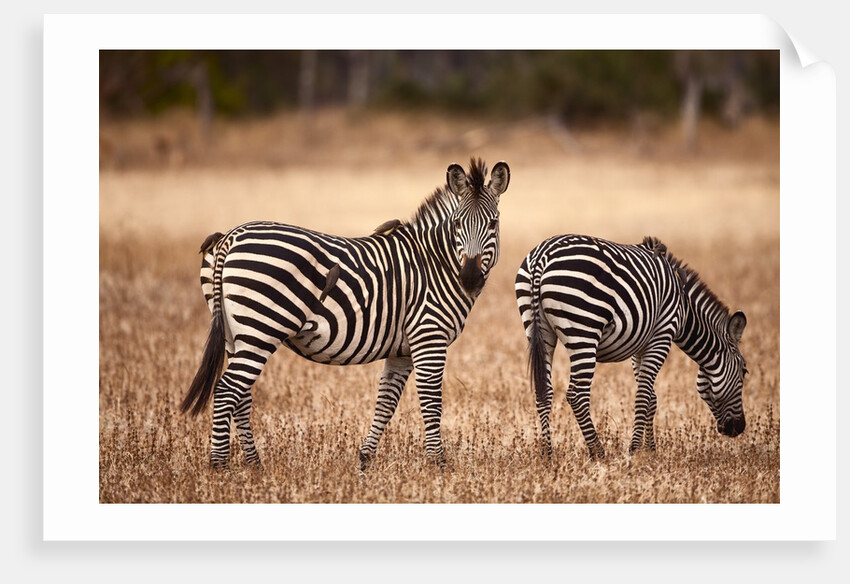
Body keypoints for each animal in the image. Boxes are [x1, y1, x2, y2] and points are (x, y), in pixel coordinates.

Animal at [180, 158, 511, 470]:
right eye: (457, 225)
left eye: (493, 224)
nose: (469, 279)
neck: (436, 262)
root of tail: (231, 236)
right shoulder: (429, 336)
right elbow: (431, 401)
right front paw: (438, 464)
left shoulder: (402, 350)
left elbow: (386, 402)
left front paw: (365, 458)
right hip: (261, 328)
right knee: (227, 391)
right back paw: (220, 467)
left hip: (234, 332)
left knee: (241, 395)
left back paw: (254, 464)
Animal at [515, 234, 748, 459]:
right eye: (744, 371)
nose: (739, 428)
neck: (684, 309)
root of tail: (541, 257)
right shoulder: (662, 335)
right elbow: (643, 395)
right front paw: (635, 450)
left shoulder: (639, 346)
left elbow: (651, 398)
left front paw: (651, 450)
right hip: (585, 330)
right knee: (577, 395)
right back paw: (598, 452)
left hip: (539, 330)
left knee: (543, 391)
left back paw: (547, 454)